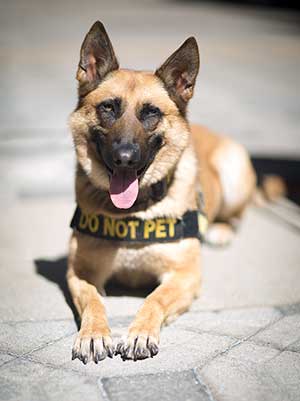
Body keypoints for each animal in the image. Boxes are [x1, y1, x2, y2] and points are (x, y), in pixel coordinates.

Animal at [67, 20, 255, 360]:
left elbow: (154, 299)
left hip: (233, 172)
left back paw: (220, 229)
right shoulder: (81, 273)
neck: (133, 213)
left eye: (150, 113)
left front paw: (141, 332)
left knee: (237, 214)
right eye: (108, 108)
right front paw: (93, 333)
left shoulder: (183, 276)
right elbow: (92, 300)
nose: (125, 157)